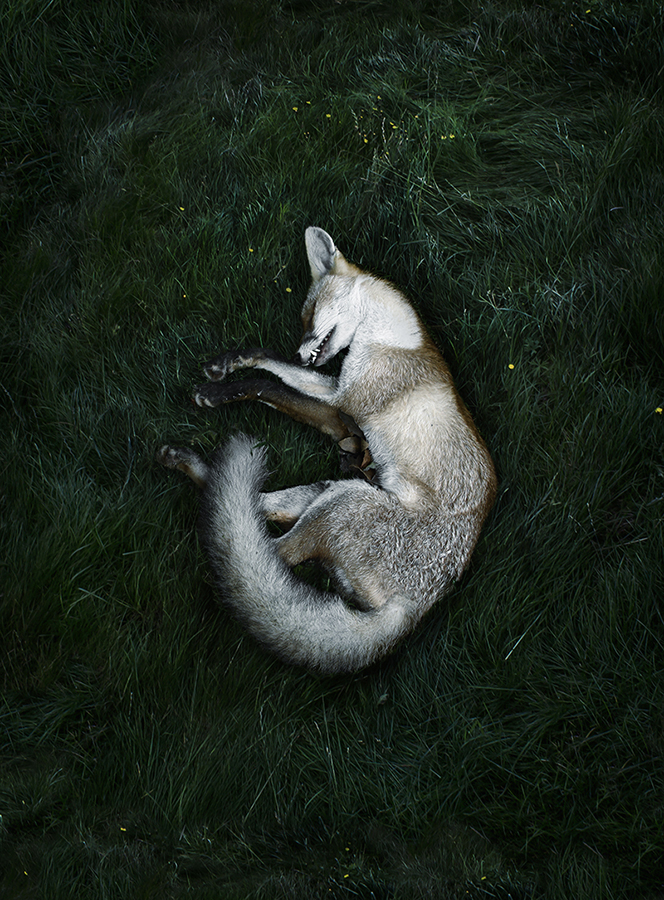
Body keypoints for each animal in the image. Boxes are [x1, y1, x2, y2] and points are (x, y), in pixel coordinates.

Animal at [157, 227, 497, 674]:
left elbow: (269, 387)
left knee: (267, 554)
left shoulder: (343, 398)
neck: (389, 340)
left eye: (311, 313)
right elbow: (270, 366)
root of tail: (418, 605)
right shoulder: (338, 400)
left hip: (343, 503)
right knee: (251, 507)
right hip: (325, 491)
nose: (303, 353)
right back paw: (189, 464)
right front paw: (232, 362)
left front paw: (221, 391)